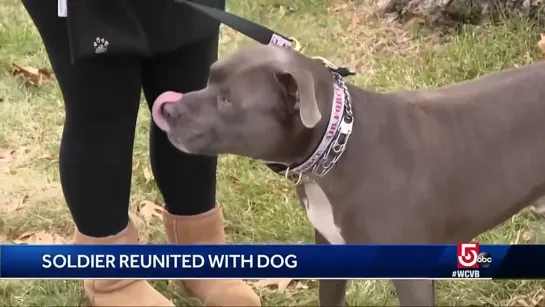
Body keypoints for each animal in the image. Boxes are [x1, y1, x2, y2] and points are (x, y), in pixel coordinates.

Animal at [151, 44, 544, 306]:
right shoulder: (329, 247)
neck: (339, 146)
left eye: (228, 101)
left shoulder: (412, 275)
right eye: (208, 79)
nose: (168, 109)